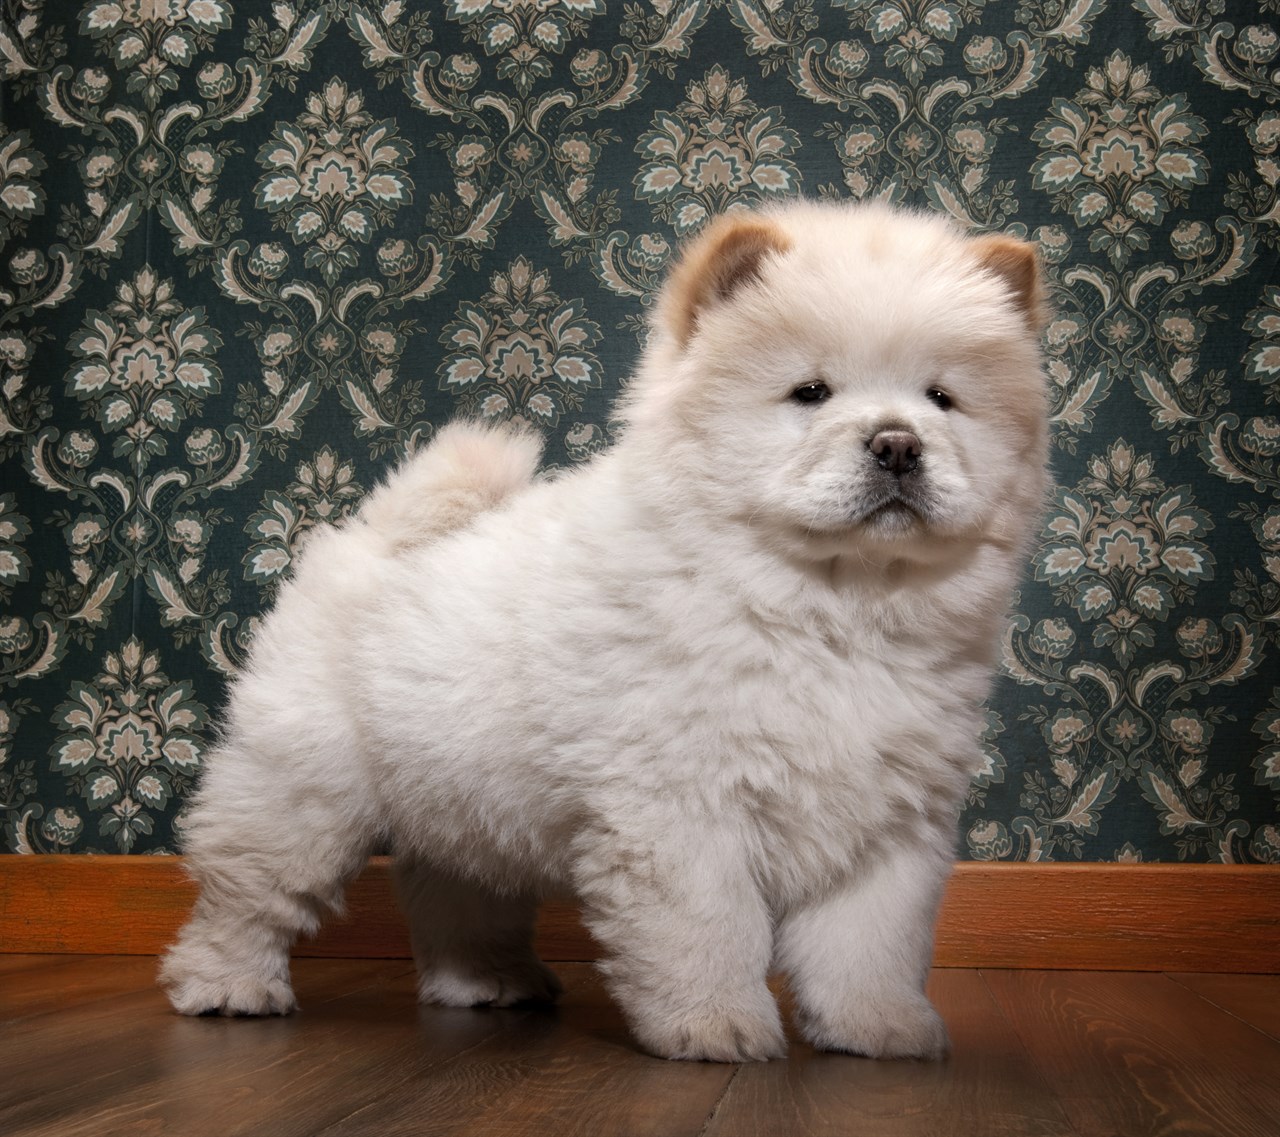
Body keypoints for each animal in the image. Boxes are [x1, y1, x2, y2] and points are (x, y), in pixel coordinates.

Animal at [157, 199, 1049, 1060]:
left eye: (942, 399)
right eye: (810, 393)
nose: (897, 442)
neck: (833, 609)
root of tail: (369, 536)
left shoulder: (887, 823)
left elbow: (870, 946)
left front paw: (882, 1029)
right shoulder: (681, 809)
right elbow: (709, 930)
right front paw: (715, 1027)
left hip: (465, 802)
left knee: (453, 895)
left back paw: (488, 983)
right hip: (302, 791)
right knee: (247, 890)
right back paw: (226, 986)